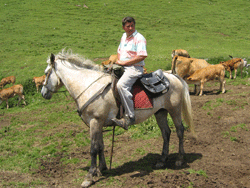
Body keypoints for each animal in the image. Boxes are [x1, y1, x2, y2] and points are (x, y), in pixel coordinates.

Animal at [41, 49, 196, 187]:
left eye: (46, 73)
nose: (43, 93)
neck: (89, 87)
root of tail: (173, 76)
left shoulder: (95, 122)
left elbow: (93, 148)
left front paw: (89, 176)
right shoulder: (99, 123)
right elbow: (100, 146)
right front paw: (101, 169)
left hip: (175, 110)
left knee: (180, 131)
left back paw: (179, 159)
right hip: (161, 112)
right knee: (166, 133)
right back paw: (162, 160)